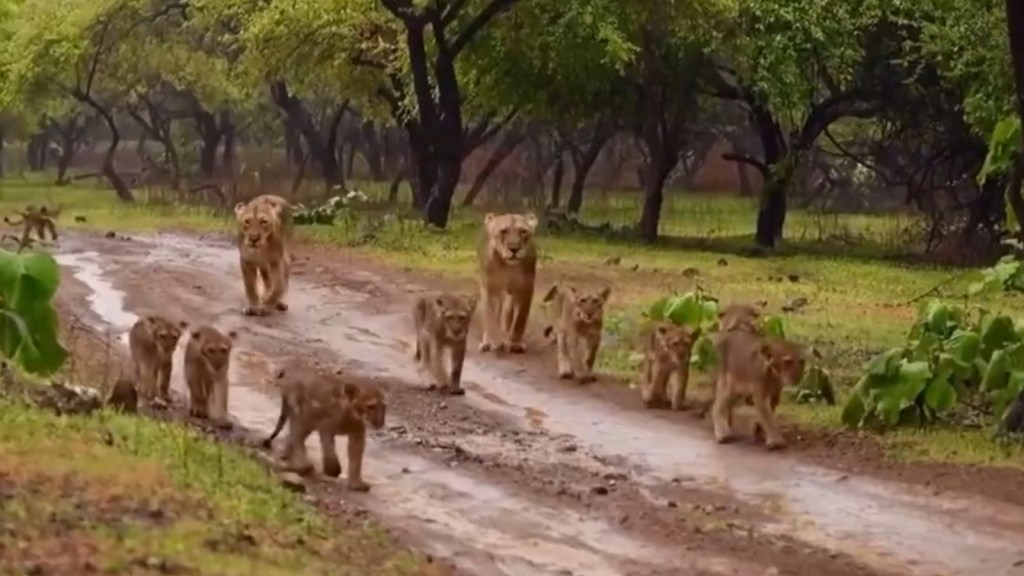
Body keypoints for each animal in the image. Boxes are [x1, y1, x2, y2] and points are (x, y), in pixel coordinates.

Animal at [262, 361, 387, 492]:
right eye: (371, 406)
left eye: (384, 406)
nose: (380, 422)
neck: (351, 417)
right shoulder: (325, 427)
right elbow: (329, 450)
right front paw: (333, 470)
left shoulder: (357, 434)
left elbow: (356, 459)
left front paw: (356, 484)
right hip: (299, 414)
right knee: (297, 438)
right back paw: (303, 465)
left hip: (307, 423)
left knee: (294, 437)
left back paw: (288, 456)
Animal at [476, 212, 539, 354]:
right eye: (503, 231)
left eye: (523, 231)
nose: (514, 248)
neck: (508, 267)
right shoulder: (490, 288)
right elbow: (490, 316)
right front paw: (493, 341)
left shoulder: (525, 289)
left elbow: (520, 318)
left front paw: (515, 343)